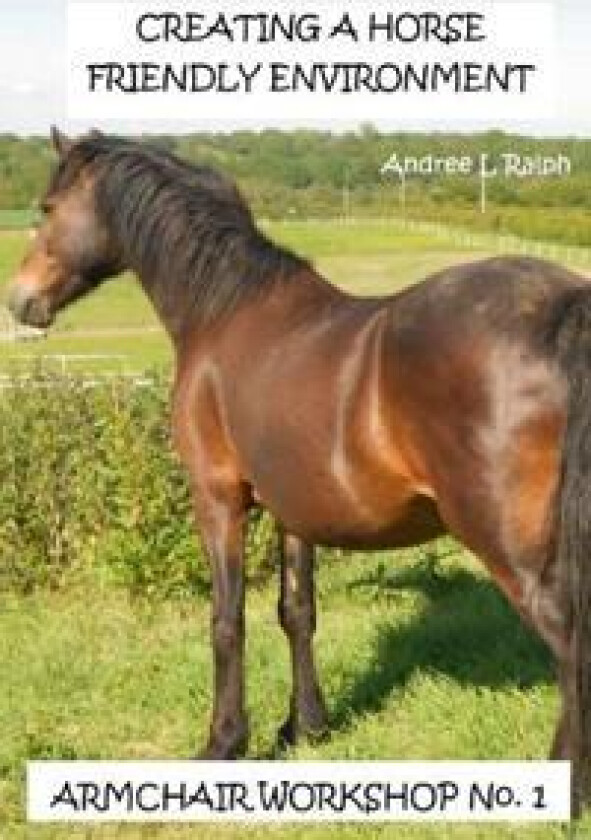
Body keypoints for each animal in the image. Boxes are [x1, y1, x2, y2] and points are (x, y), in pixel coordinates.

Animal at [8, 127, 591, 814]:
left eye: (47, 208)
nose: (21, 300)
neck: (224, 311)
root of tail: (561, 306)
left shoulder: (218, 499)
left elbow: (226, 620)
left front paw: (224, 743)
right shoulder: (294, 507)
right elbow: (297, 612)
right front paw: (303, 727)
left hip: (510, 547)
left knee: (569, 644)